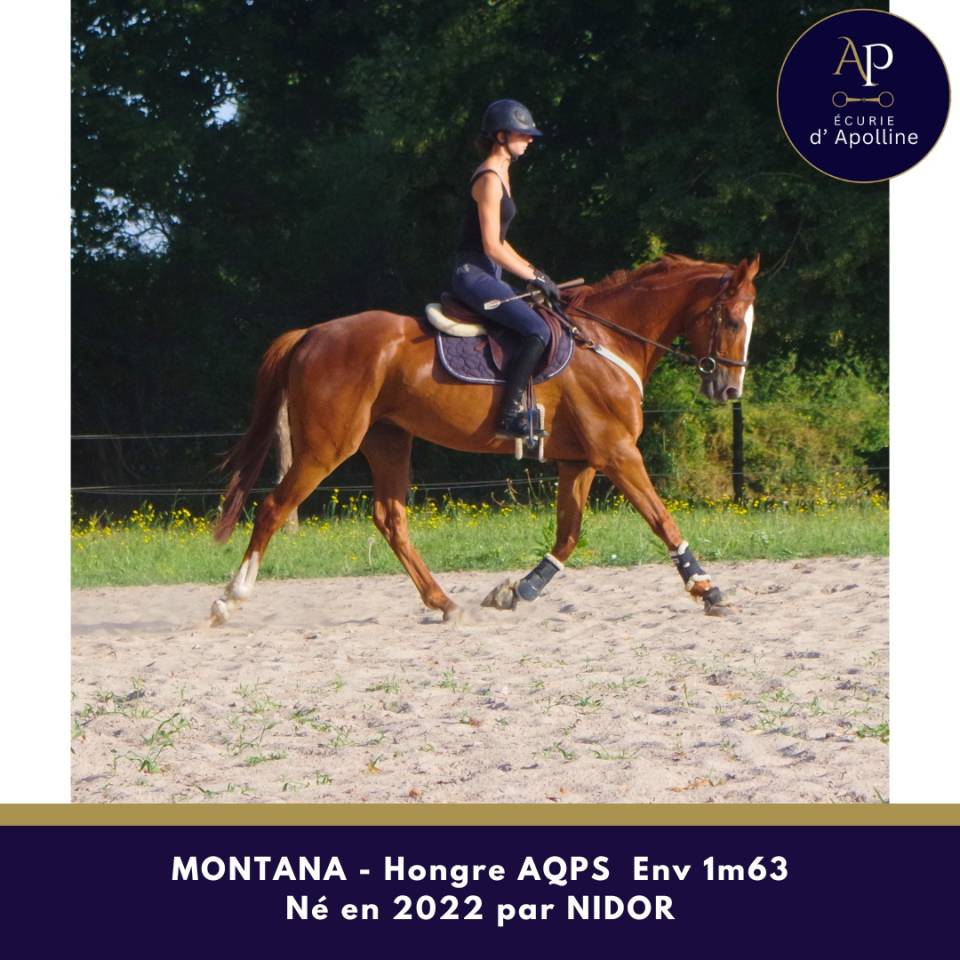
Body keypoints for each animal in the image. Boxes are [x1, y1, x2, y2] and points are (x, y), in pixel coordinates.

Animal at [210, 253, 760, 624]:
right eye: (733, 319)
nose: (729, 389)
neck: (605, 340)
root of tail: (312, 334)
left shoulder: (579, 461)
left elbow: (568, 535)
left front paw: (518, 591)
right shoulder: (617, 453)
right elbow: (662, 520)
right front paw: (708, 589)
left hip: (388, 440)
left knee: (390, 519)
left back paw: (443, 602)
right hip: (328, 446)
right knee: (274, 508)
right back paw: (230, 599)